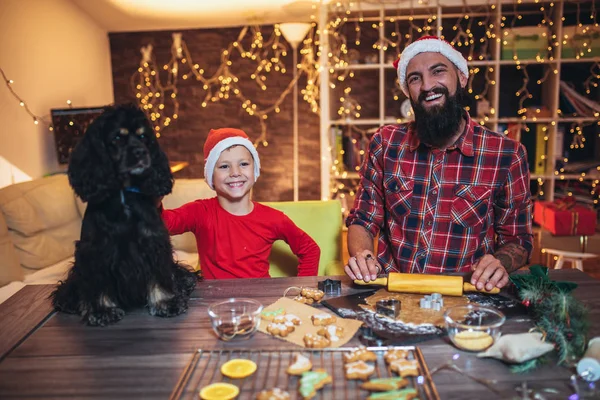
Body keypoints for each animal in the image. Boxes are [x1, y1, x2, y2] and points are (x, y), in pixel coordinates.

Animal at [52, 104, 198, 324]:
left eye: (144, 136)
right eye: (117, 138)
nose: (141, 152)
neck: (124, 194)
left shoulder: (153, 242)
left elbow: (160, 276)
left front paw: (166, 303)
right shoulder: (95, 250)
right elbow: (99, 284)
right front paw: (102, 310)